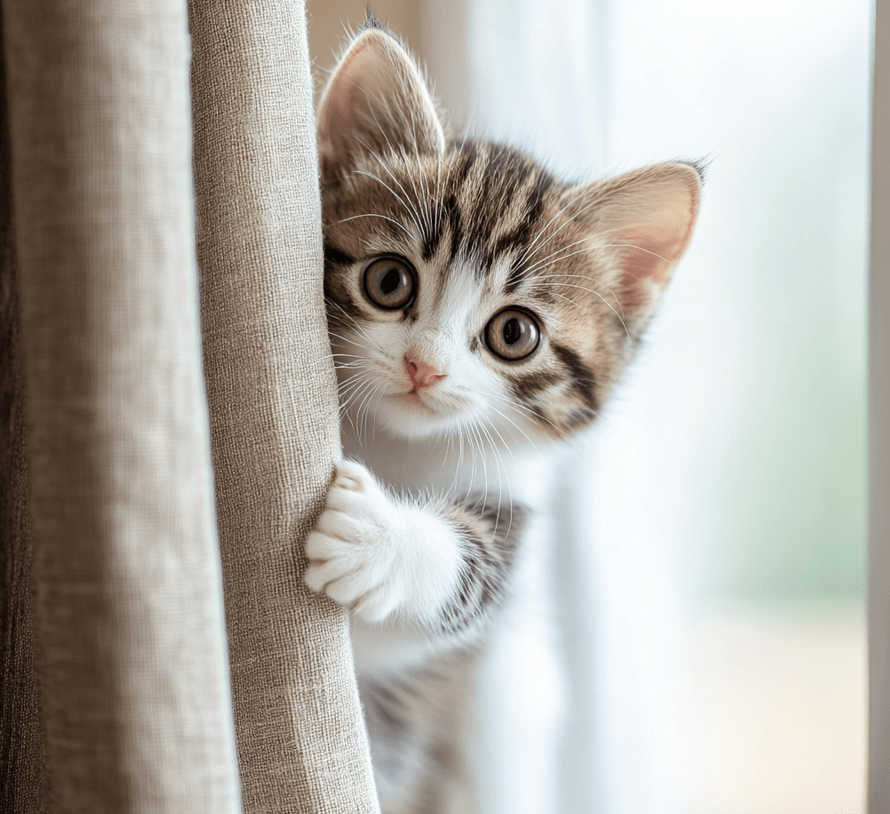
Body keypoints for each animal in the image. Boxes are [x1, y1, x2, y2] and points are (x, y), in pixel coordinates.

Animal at [306, 14, 700, 814]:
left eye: (514, 334)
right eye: (389, 281)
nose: (424, 366)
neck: (404, 447)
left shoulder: (508, 520)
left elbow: (452, 596)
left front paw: (376, 537)